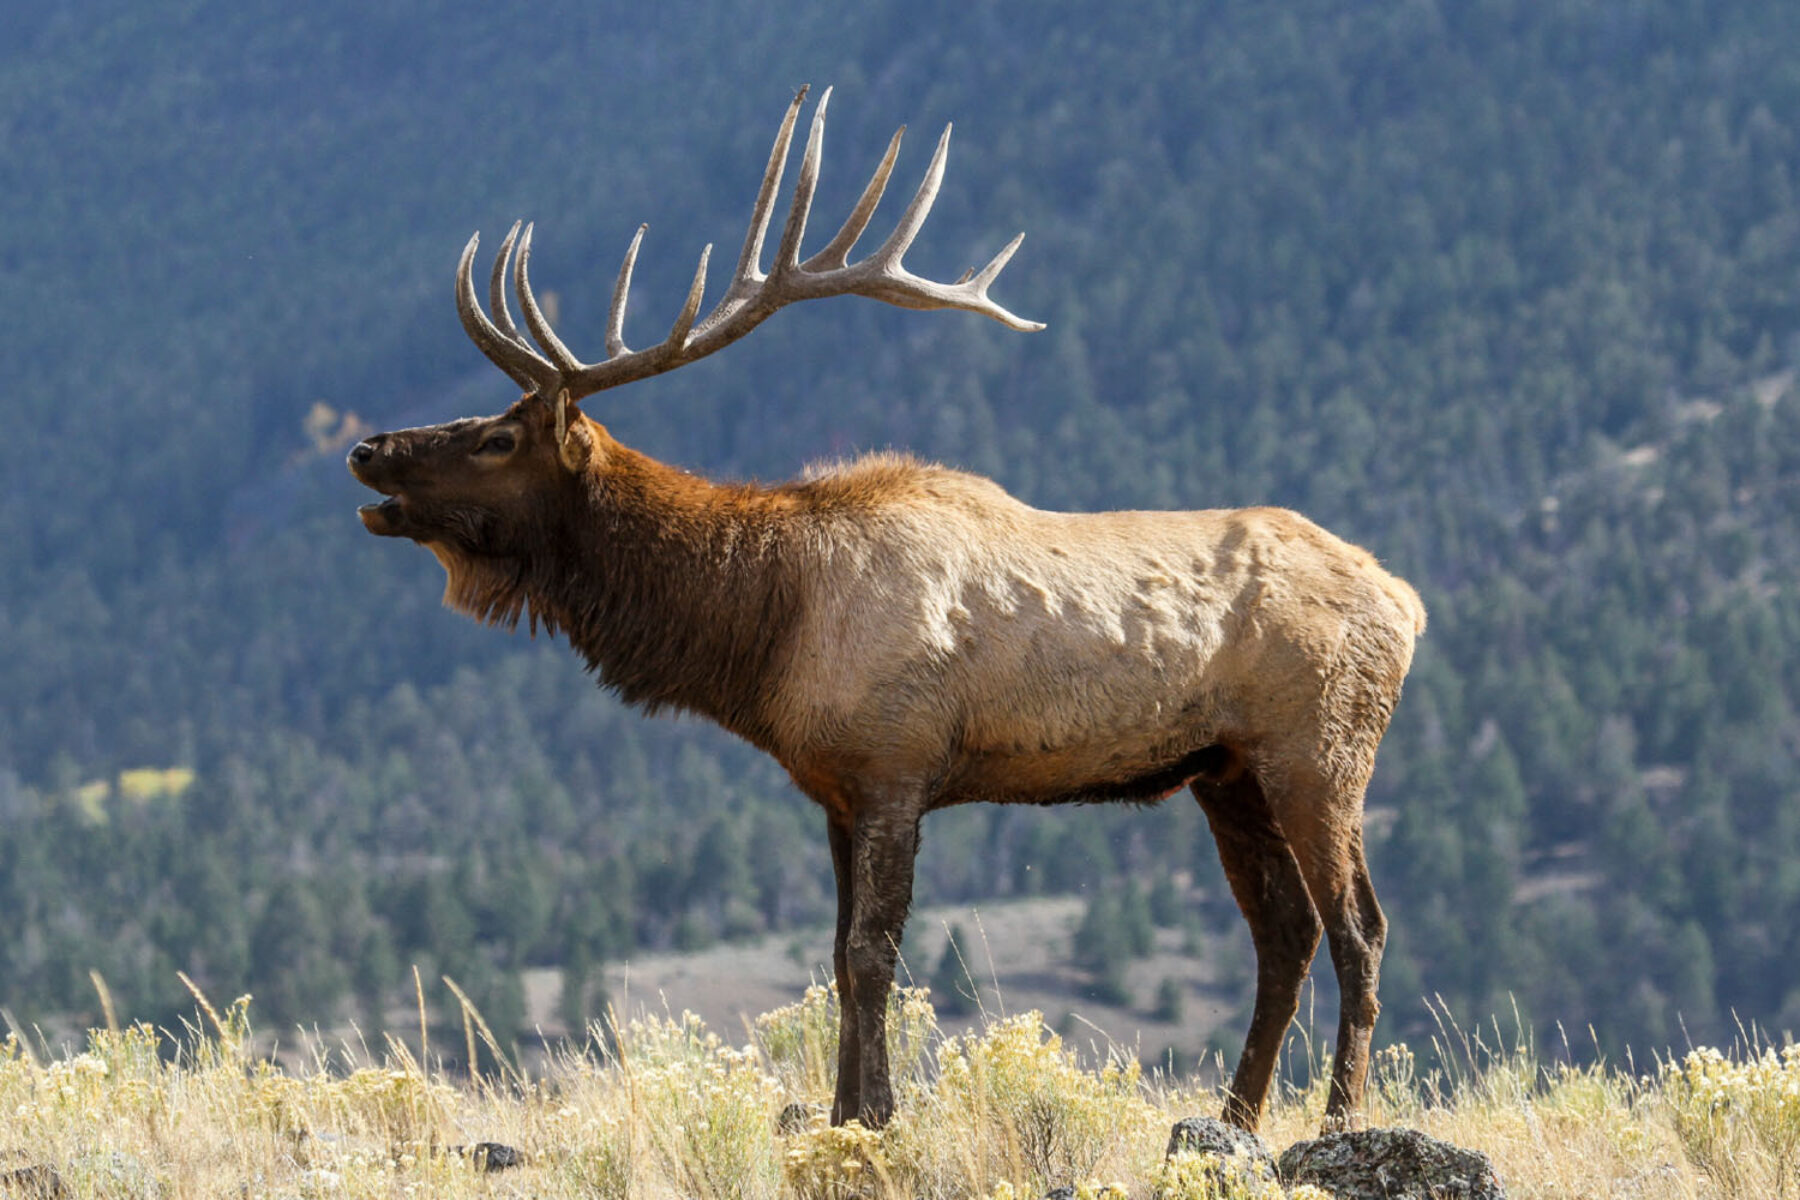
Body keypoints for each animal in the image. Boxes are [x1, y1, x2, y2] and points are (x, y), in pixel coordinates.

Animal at [347, 86, 1425, 1134]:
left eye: (497, 438)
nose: (366, 448)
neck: (764, 631)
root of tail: (1407, 600)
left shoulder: (896, 764)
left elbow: (873, 955)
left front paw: (877, 1117)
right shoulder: (833, 786)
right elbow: (834, 957)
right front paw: (843, 1112)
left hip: (1320, 749)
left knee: (1358, 928)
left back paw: (1336, 1119)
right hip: (1224, 770)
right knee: (1284, 931)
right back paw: (1235, 1117)